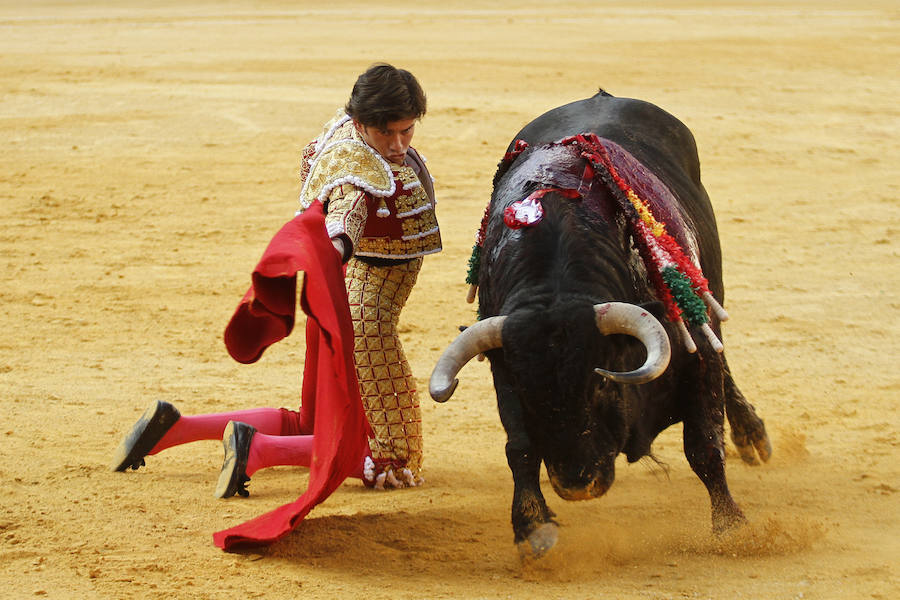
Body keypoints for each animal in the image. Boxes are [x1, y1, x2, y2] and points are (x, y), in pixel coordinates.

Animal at [432, 90, 768, 556]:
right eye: (528, 392)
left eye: (602, 385)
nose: (577, 484)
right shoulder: (505, 369)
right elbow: (520, 449)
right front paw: (532, 528)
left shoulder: (694, 356)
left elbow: (703, 443)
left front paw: (734, 529)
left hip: (706, 295)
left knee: (719, 351)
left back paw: (752, 435)